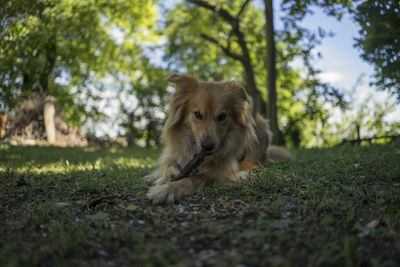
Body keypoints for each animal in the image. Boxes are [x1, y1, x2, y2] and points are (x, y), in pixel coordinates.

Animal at [146, 74, 290, 204]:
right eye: (197, 114)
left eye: (222, 116)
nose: (207, 146)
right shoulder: (174, 155)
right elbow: (169, 166)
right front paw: (164, 178)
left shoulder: (222, 173)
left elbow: (195, 179)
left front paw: (165, 190)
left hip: (263, 126)